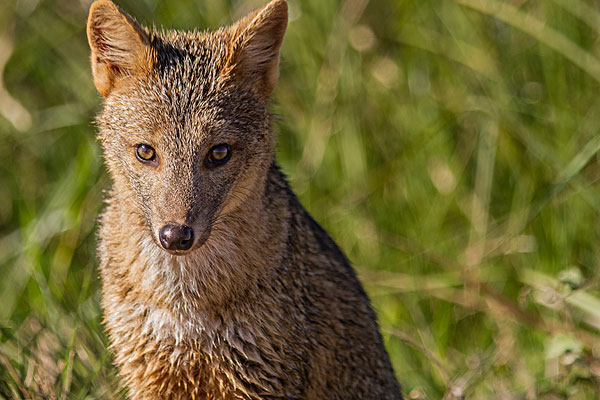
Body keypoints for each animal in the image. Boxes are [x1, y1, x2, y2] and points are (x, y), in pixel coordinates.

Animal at [86, 0, 400, 398]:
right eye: (146, 152)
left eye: (218, 153)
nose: (176, 236)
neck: (185, 303)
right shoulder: (149, 377)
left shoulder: (257, 379)